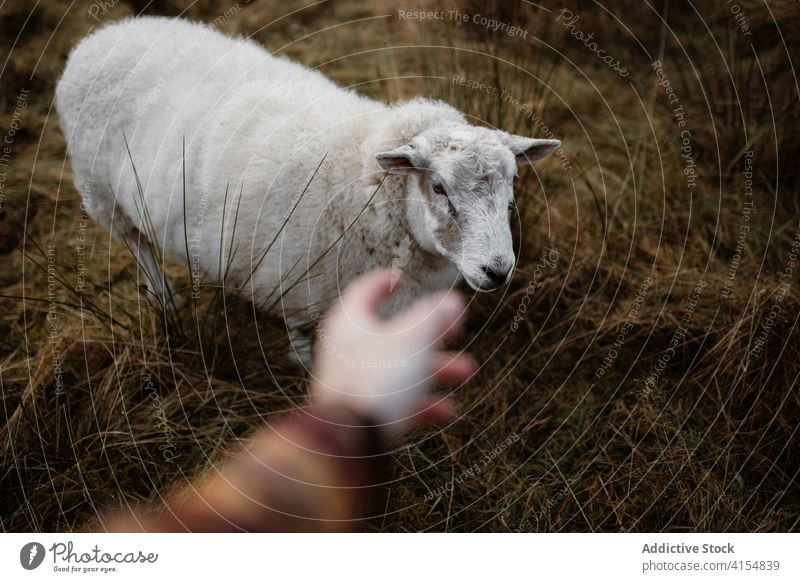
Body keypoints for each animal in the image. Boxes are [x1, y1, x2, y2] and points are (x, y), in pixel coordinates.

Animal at [56, 16, 560, 362]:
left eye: (512, 184)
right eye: (438, 187)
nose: (498, 271)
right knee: (136, 243)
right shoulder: (298, 292)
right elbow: (304, 343)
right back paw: (166, 299)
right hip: (102, 192)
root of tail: (101, 35)